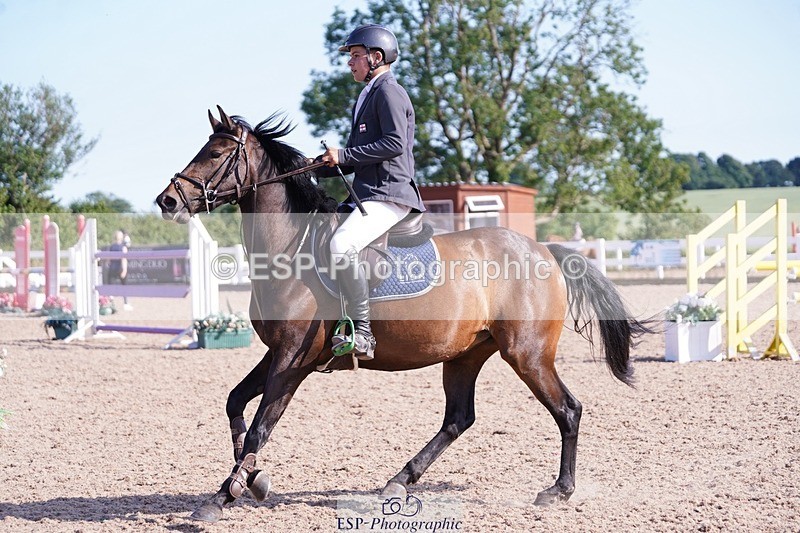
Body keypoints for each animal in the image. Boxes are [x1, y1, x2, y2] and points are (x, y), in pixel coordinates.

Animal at [155, 107, 653, 522]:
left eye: (215, 153)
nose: (167, 201)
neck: (290, 250)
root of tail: (543, 250)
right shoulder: (276, 353)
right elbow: (235, 404)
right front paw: (252, 480)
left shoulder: (292, 361)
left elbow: (261, 428)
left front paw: (224, 495)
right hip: (465, 355)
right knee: (458, 418)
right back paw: (399, 481)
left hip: (527, 355)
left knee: (567, 410)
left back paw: (558, 491)